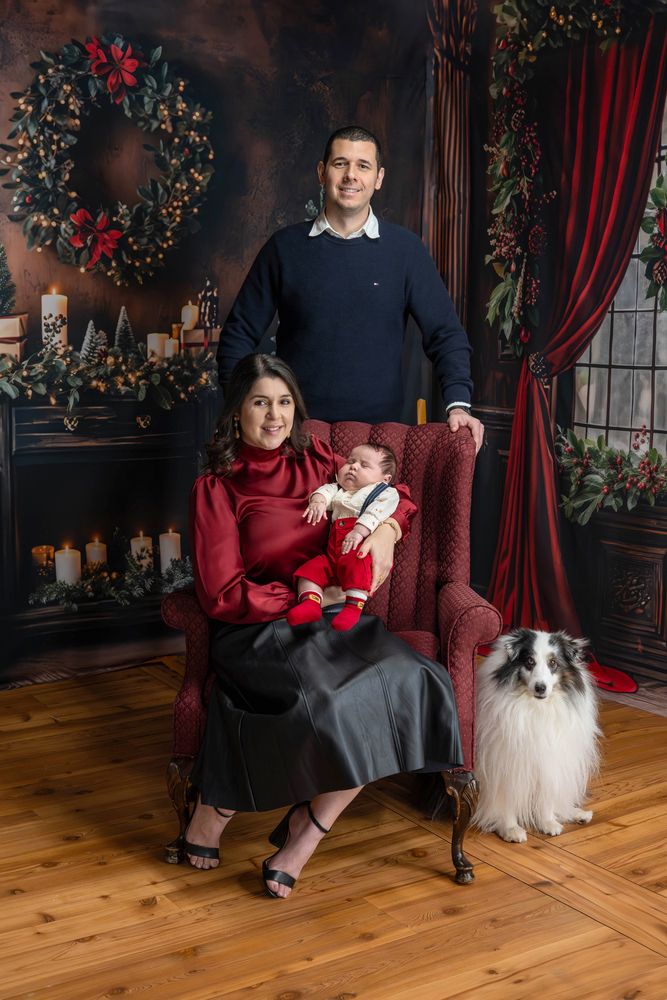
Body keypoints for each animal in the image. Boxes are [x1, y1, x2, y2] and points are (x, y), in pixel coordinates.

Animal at [473, 628, 601, 843]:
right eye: (529, 662)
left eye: (553, 663)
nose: (541, 688)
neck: (536, 706)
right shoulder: (503, 765)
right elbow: (506, 800)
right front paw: (510, 829)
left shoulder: (549, 763)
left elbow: (546, 798)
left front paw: (548, 823)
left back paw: (578, 814)